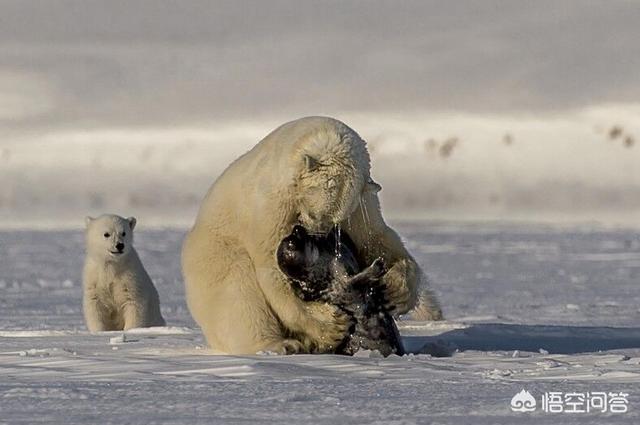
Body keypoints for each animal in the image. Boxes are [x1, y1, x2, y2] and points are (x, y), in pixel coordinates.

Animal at [180, 117, 440, 354]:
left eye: (334, 221)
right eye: (313, 213)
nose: (311, 234)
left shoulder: (361, 204)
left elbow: (374, 238)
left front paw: (396, 288)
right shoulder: (270, 203)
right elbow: (270, 265)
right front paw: (330, 326)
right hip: (216, 251)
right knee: (237, 294)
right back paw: (281, 344)